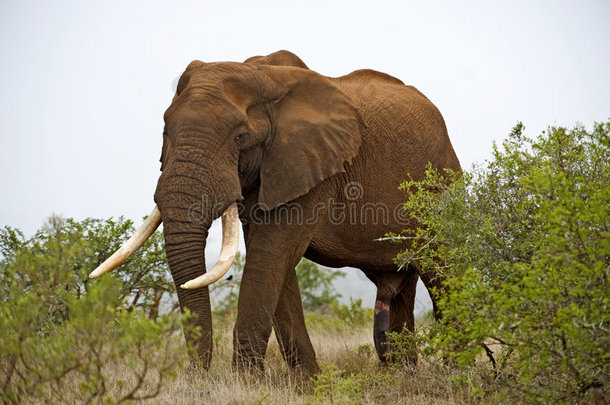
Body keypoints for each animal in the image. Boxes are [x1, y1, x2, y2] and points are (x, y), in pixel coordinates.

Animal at [90, 51, 456, 376]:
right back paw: (402, 374)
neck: (263, 76)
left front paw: (245, 383)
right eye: (165, 131)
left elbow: (271, 254)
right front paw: (308, 383)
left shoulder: (310, 165)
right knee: (400, 285)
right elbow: (271, 259)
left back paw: (451, 371)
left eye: (240, 137)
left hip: (443, 186)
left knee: (442, 273)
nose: (198, 377)